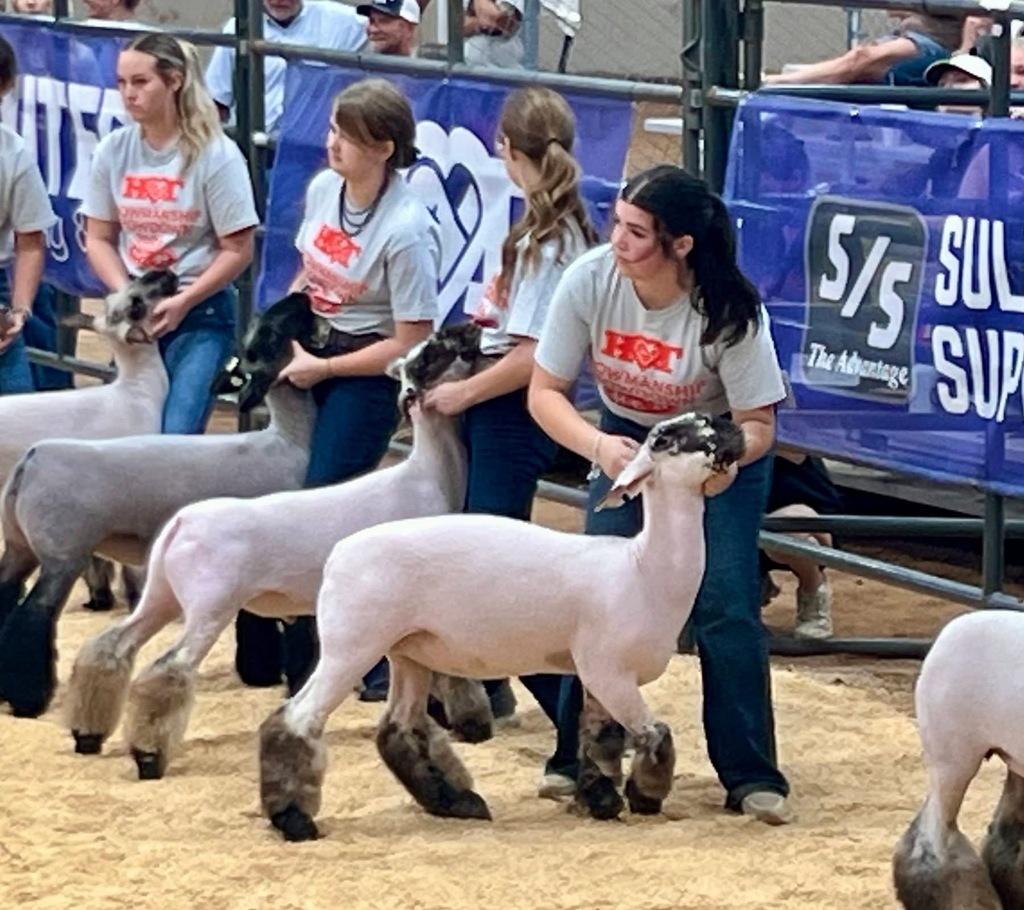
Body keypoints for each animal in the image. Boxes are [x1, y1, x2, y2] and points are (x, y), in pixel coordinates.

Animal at [0, 293, 319, 719]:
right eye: (273, 331)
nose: (302, 296)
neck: (286, 440)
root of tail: (32, 460)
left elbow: (253, 620)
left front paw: (260, 674)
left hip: (21, 546)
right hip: (62, 553)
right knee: (32, 618)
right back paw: (27, 700)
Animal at [64, 322, 491, 780]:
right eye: (429, 353)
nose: (471, 328)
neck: (428, 473)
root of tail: (182, 523)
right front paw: (471, 723)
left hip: (163, 595)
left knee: (111, 646)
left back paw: (87, 735)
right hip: (210, 605)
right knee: (168, 668)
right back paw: (148, 757)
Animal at [254, 411, 747, 841]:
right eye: (665, 438)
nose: (733, 427)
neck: (642, 569)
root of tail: (337, 555)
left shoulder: (596, 673)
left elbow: (600, 739)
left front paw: (602, 800)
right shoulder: (609, 668)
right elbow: (654, 732)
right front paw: (645, 797)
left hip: (407, 649)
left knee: (398, 729)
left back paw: (457, 802)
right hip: (352, 643)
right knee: (298, 718)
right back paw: (294, 820)